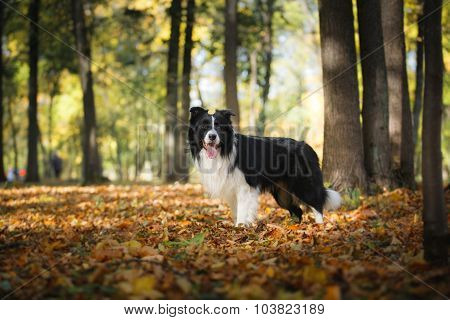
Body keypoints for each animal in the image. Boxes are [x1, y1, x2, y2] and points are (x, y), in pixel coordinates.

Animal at [189, 107, 342, 225]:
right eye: (204, 127)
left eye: (219, 126)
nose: (212, 136)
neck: (224, 151)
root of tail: (308, 147)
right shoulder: (231, 189)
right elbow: (236, 212)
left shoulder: (244, 187)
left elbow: (243, 211)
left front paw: (240, 228)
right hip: (282, 194)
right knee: (297, 211)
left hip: (304, 184)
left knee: (317, 205)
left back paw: (319, 227)